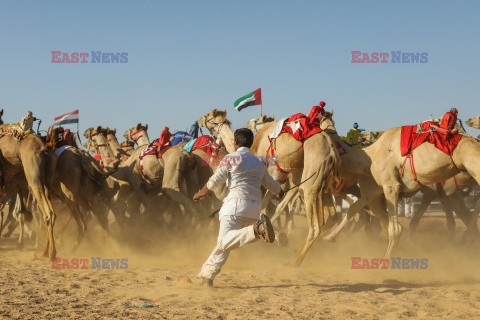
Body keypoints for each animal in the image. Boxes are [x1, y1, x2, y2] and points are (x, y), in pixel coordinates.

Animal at [199, 108, 342, 264]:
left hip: (311, 178)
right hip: (320, 182)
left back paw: (294, 261)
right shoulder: (281, 179)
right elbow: (274, 207)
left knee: (315, 226)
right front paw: (276, 235)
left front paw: (275, 235)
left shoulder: (272, 176)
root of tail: (332, 152)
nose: (199, 120)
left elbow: (265, 208)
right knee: (327, 216)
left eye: (207, 116)